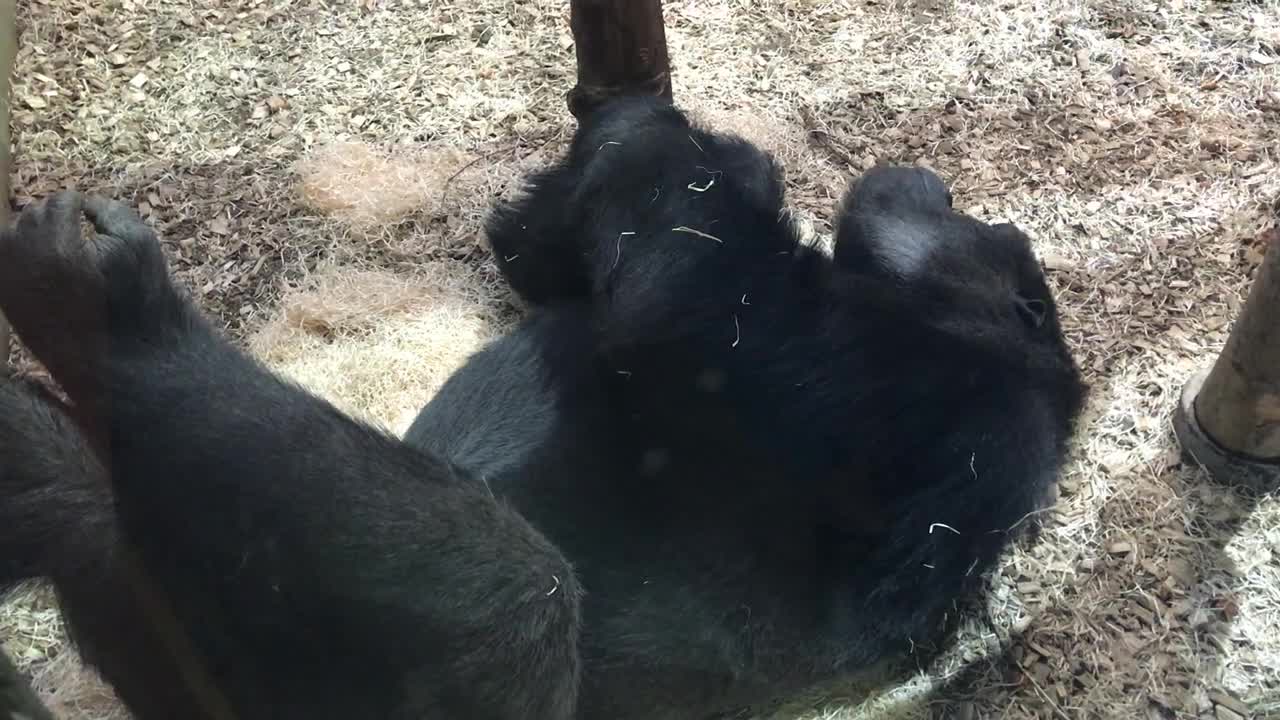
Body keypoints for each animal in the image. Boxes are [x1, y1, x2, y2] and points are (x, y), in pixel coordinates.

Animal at [0, 96, 1085, 717]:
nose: (948, 196)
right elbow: (560, 270)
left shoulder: (917, 390)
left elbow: (687, 297)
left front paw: (655, 133)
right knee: (96, 519)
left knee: (521, 590)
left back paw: (110, 322)